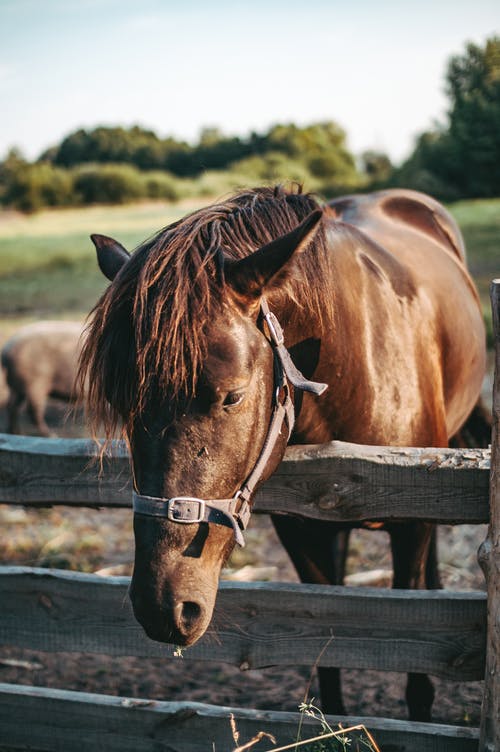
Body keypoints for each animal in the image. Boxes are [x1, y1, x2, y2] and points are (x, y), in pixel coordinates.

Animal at [79, 185, 488, 720]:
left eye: (232, 396)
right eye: (120, 401)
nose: (162, 606)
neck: (355, 361)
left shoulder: (413, 521)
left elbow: (419, 649)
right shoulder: (303, 530)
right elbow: (326, 649)